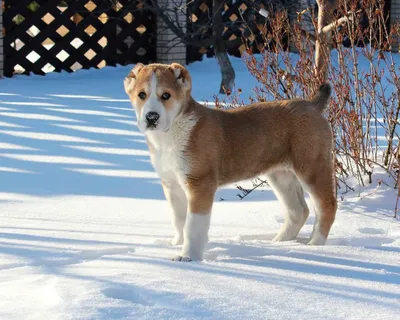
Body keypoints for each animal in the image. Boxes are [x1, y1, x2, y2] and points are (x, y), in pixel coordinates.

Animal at [123, 62, 336, 260]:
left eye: (166, 95)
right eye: (142, 95)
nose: (152, 117)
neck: (172, 131)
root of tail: (312, 105)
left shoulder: (200, 183)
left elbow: (193, 224)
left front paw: (188, 256)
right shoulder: (171, 184)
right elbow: (179, 219)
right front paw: (177, 244)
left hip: (311, 168)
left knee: (326, 205)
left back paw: (315, 246)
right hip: (281, 176)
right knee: (298, 211)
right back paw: (279, 243)